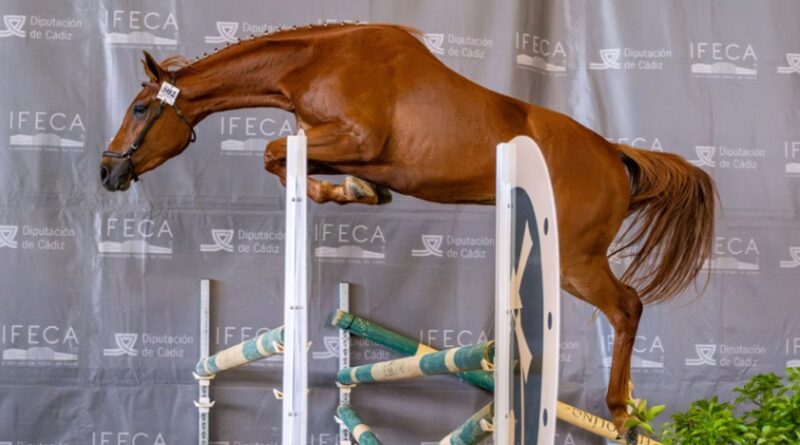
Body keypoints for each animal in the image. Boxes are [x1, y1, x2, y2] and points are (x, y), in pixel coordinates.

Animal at [100, 23, 715, 443]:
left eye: (139, 109)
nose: (108, 172)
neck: (315, 62)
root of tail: (614, 153)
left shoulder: (354, 138)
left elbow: (274, 152)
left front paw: (339, 193)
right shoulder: (336, 146)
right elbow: (295, 161)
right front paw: (358, 193)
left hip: (576, 259)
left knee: (628, 307)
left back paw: (623, 413)